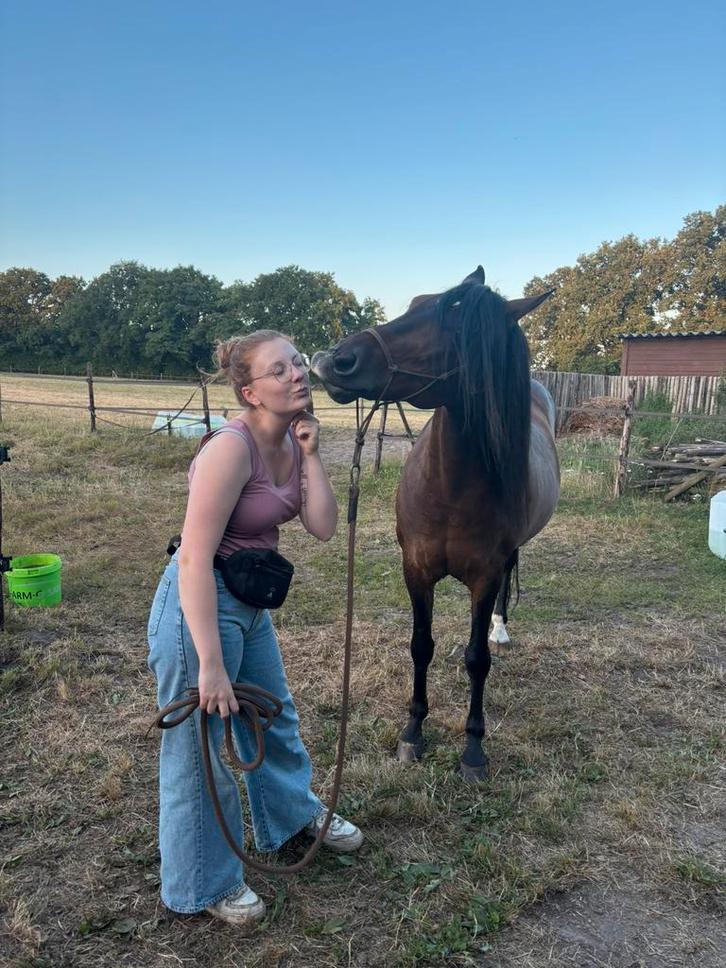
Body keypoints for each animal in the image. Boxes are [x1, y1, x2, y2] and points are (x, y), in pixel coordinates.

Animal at [311, 267, 560, 781]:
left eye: (455, 326)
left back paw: (500, 628)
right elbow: (420, 646)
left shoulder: (484, 577)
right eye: (416, 304)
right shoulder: (416, 569)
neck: (452, 488)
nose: (334, 360)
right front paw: (412, 732)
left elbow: (476, 659)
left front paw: (473, 748)